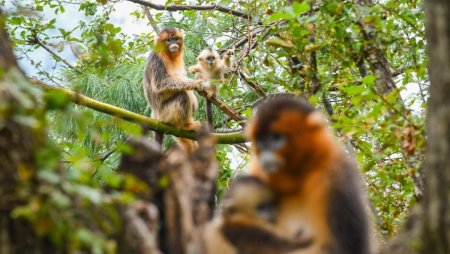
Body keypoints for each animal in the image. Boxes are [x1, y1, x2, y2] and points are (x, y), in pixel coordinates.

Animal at [246, 95, 372, 254]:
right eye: (261, 140)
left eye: (276, 137)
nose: (265, 155)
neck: (297, 180)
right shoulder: (257, 173)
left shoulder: (336, 175)